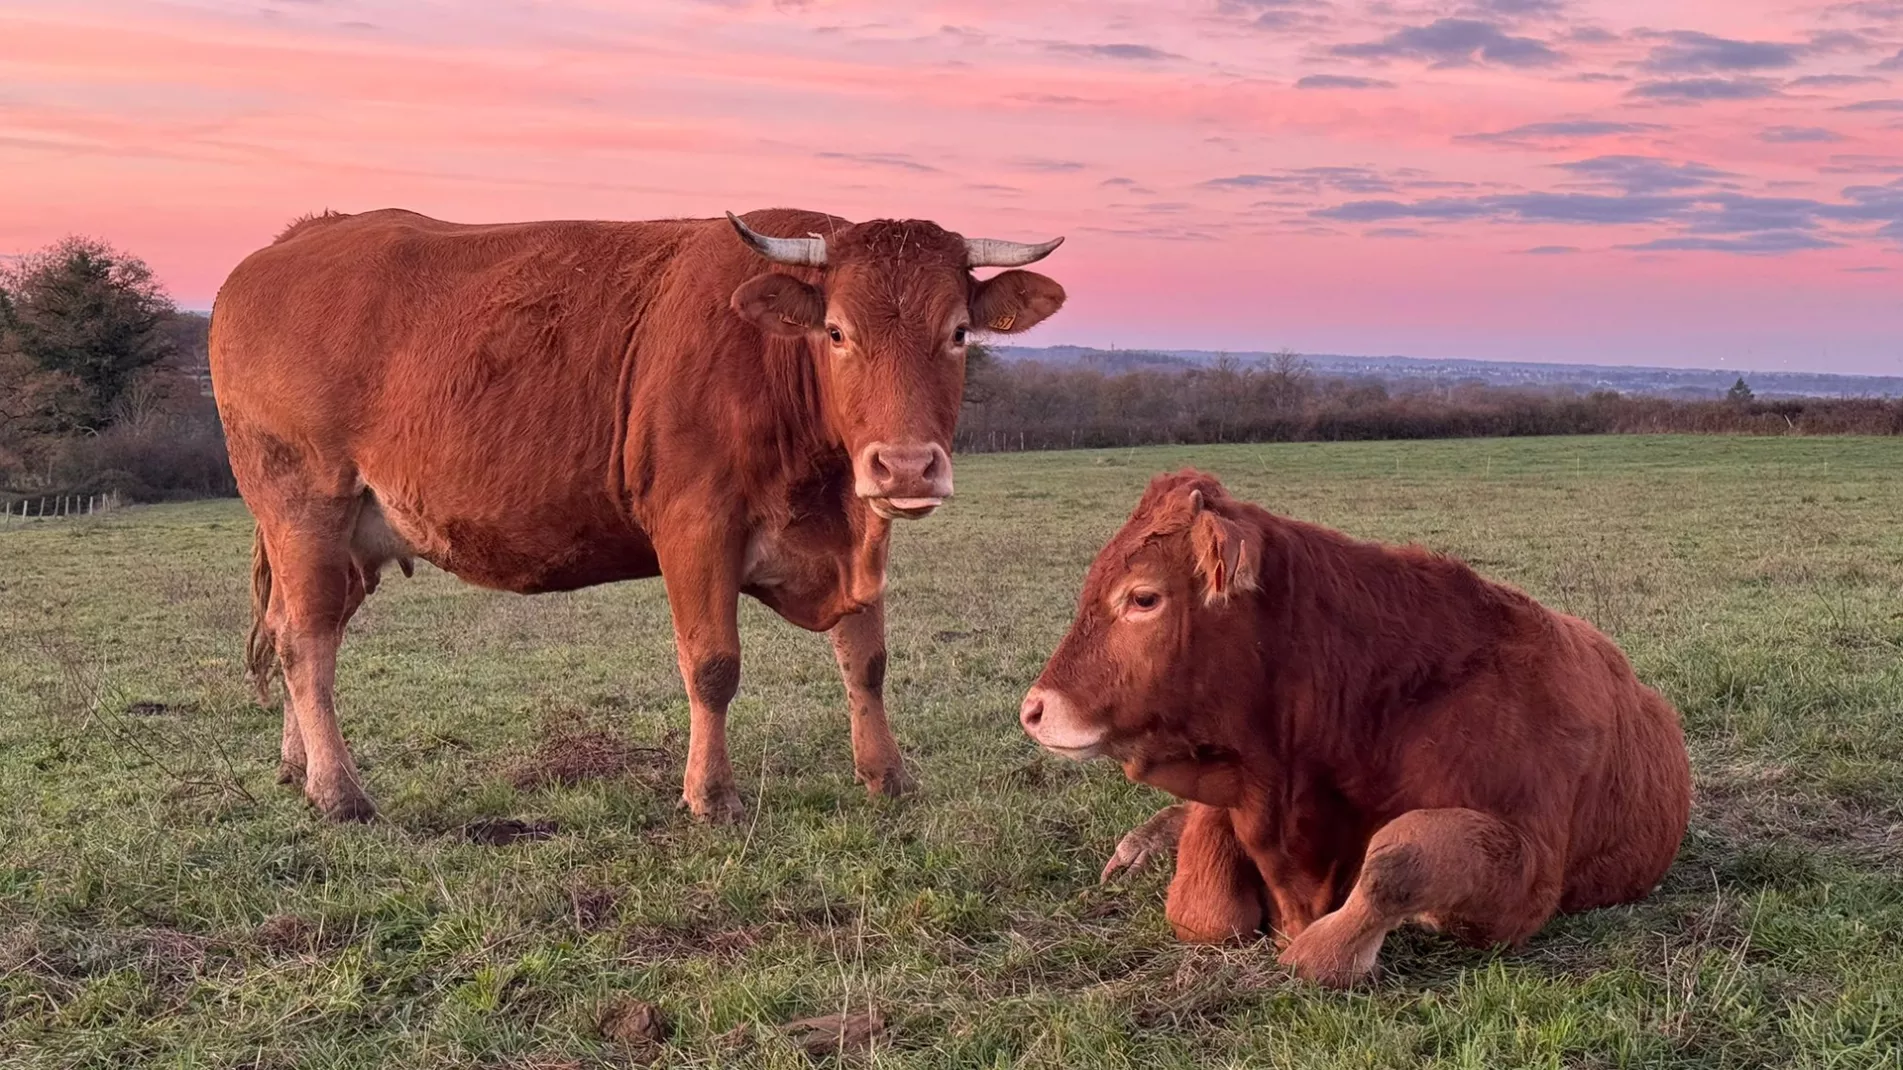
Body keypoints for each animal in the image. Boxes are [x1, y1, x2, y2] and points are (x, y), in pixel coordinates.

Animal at [215, 210, 1073, 826]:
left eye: (957, 332)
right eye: (837, 332)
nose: (904, 466)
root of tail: (297, 240)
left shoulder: (861, 536)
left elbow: (865, 660)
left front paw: (886, 776)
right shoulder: (696, 527)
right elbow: (713, 665)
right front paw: (710, 796)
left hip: (348, 539)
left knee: (299, 633)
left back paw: (298, 769)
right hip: (304, 508)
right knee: (305, 644)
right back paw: (340, 793)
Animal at [1020, 470, 1689, 990]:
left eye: (1143, 598)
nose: (1033, 710)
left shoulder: (1529, 870)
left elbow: (1398, 856)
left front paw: (1329, 948)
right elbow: (1205, 905)